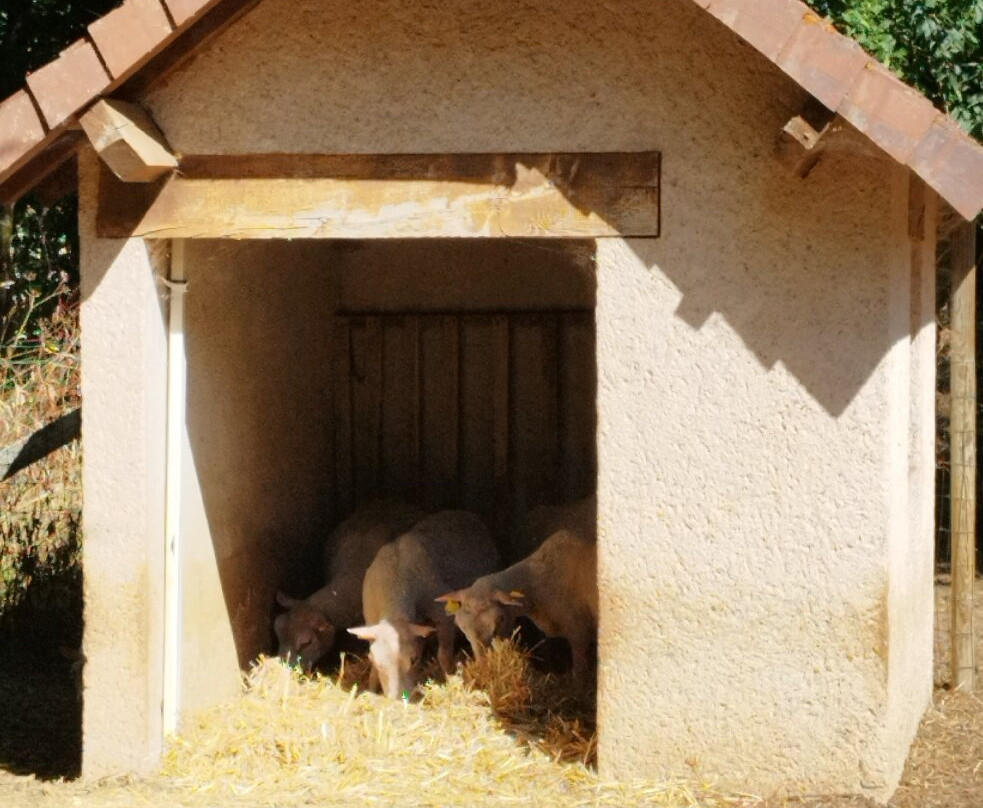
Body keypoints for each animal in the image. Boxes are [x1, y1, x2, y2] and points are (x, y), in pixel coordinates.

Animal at [348, 510, 499, 699]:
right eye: (374, 660)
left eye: (413, 660)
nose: (398, 699)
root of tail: (462, 512)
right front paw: (371, 688)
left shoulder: (444, 615)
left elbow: (443, 655)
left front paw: (448, 679)